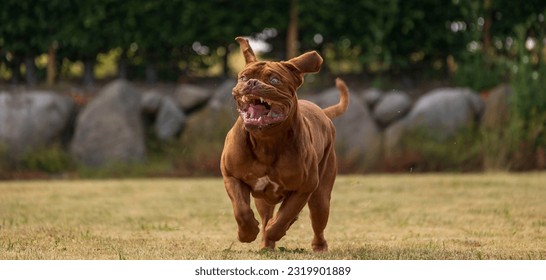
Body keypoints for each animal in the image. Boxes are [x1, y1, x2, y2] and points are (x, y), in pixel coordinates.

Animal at [219, 37, 346, 252]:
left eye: (274, 80)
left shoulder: (304, 187)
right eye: (243, 77)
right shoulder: (232, 176)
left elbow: (284, 216)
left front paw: (275, 230)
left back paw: (318, 246)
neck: (266, 140)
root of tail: (322, 112)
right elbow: (241, 210)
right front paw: (247, 233)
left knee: (317, 221)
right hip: (263, 200)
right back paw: (265, 244)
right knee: (266, 215)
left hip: (321, 196)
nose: (252, 82)